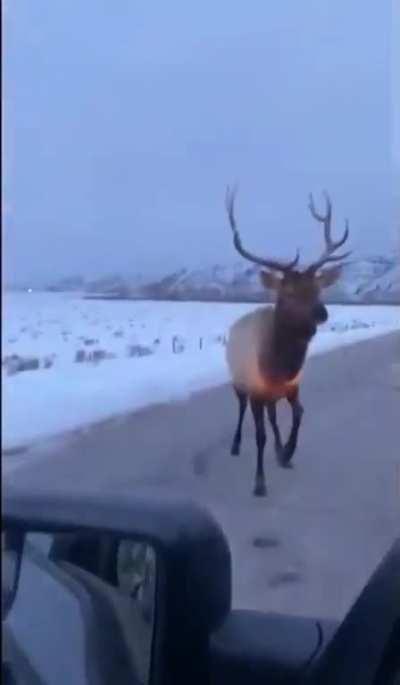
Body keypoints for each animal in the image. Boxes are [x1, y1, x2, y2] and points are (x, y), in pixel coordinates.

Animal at [225, 186, 351, 496]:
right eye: (289, 291)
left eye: (317, 288)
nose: (321, 312)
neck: (279, 366)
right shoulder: (256, 390)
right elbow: (259, 435)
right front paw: (259, 483)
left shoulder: (293, 387)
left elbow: (299, 414)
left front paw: (288, 452)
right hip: (239, 381)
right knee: (241, 409)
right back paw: (235, 445)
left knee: (273, 416)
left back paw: (280, 449)